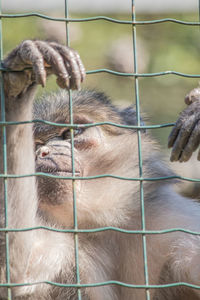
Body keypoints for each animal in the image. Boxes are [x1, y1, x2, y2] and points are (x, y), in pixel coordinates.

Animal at [0, 40, 200, 300]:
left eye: (72, 132)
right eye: (36, 145)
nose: (42, 153)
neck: (103, 221)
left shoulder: (172, 220)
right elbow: (14, 272)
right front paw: (16, 82)